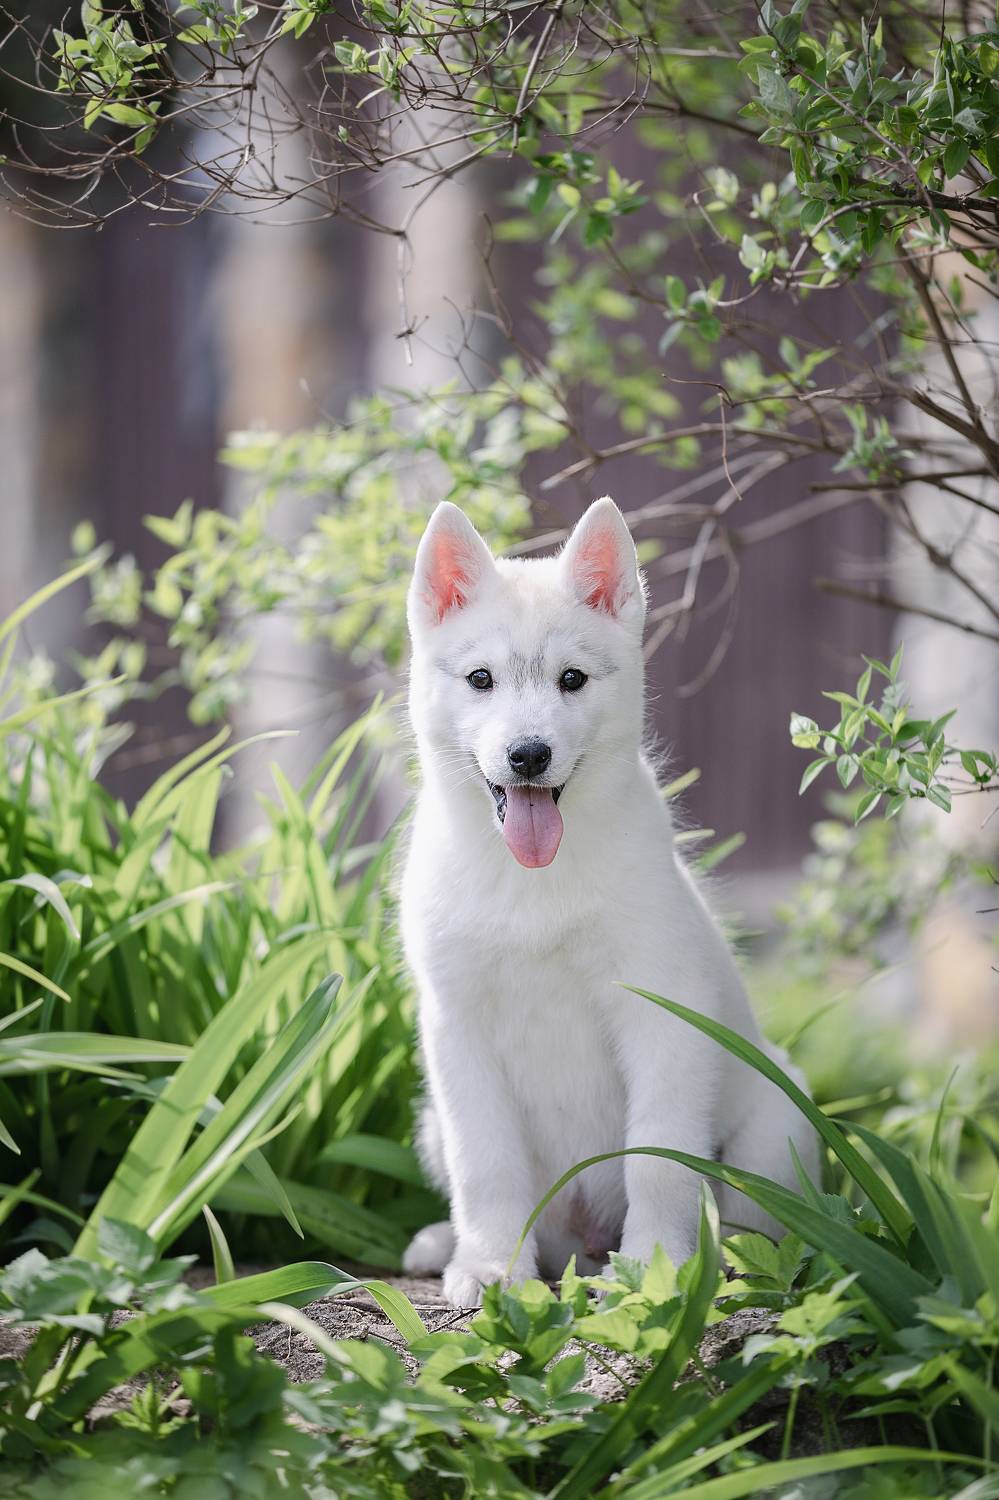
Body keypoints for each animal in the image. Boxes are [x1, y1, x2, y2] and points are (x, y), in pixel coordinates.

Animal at [399, 497, 819, 1307]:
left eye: (572, 679)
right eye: (479, 678)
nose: (528, 756)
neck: (532, 881)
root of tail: (585, 1243)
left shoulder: (663, 1014)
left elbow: (657, 1160)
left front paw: (656, 1267)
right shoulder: (455, 1026)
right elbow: (484, 1161)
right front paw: (491, 1265)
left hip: (778, 1120)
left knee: (753, 1217)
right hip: (431, 1118)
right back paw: (447, 1244)